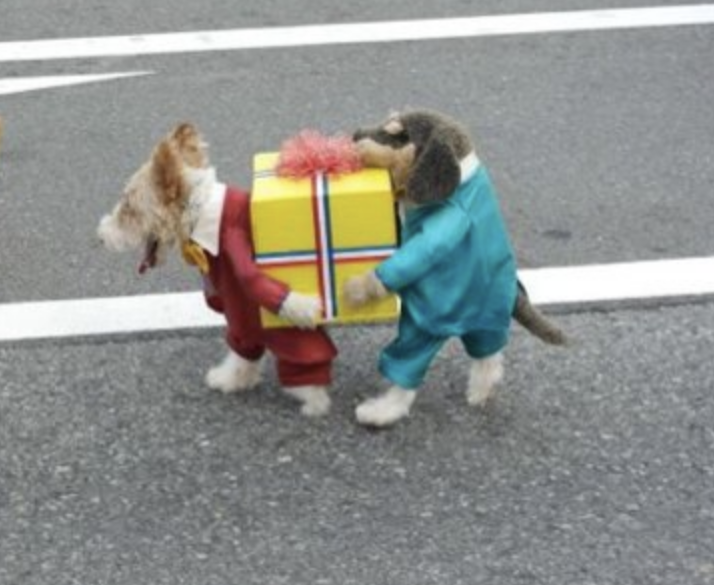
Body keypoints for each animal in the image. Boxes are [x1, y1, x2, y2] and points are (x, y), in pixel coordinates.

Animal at [96, 123, 336, 416]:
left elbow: (269, 343)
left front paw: (312, 397)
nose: (100, 236)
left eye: (129, 209)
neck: (201, 215)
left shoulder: (244, 299)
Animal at [342, 108, 564, 424]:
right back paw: (482, 390)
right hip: (487, 326)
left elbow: (419, 253)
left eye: (399, 134)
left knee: (406, 365)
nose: (355, 135)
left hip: (420, 330)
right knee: (488, 353)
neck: (461, 176)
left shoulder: (449, 223)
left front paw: (359, 287)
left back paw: (382, 411)